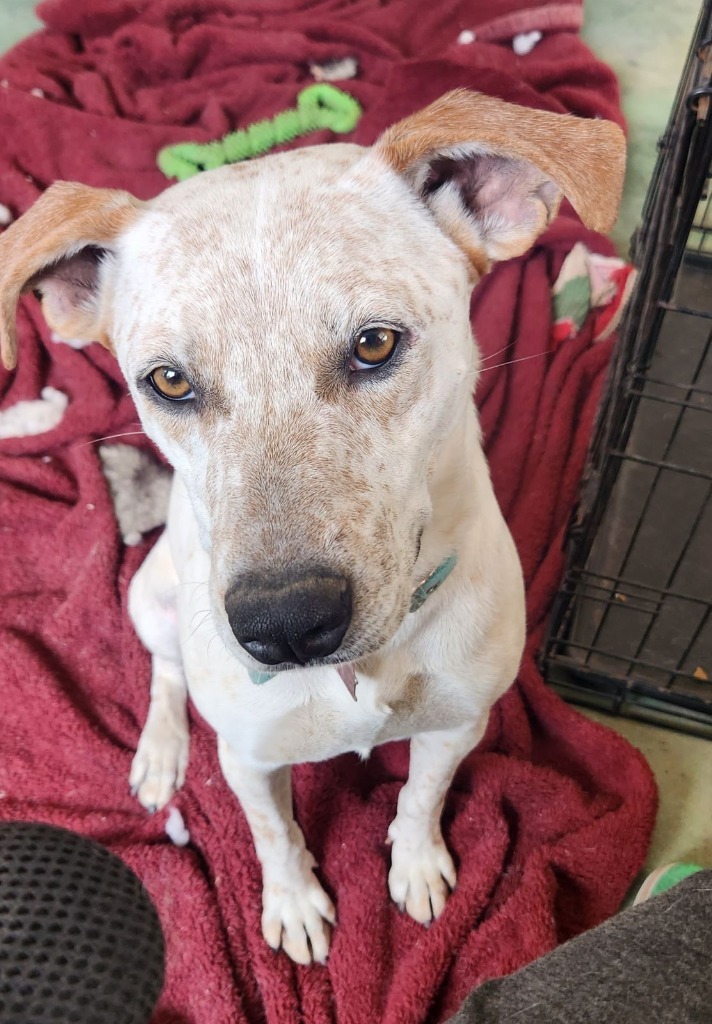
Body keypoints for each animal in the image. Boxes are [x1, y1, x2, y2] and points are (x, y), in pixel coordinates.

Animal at [0, 88, 622, 958]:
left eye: (375, 343)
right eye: (168, 381)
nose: (285, 626)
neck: (365, 671)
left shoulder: (460, 723)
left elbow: (422, 797)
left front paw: (416, 863)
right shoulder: (248, 760)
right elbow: (275, 837)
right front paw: (294, 905)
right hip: (150, 598)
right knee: (163, 672)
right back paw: (160, 752)